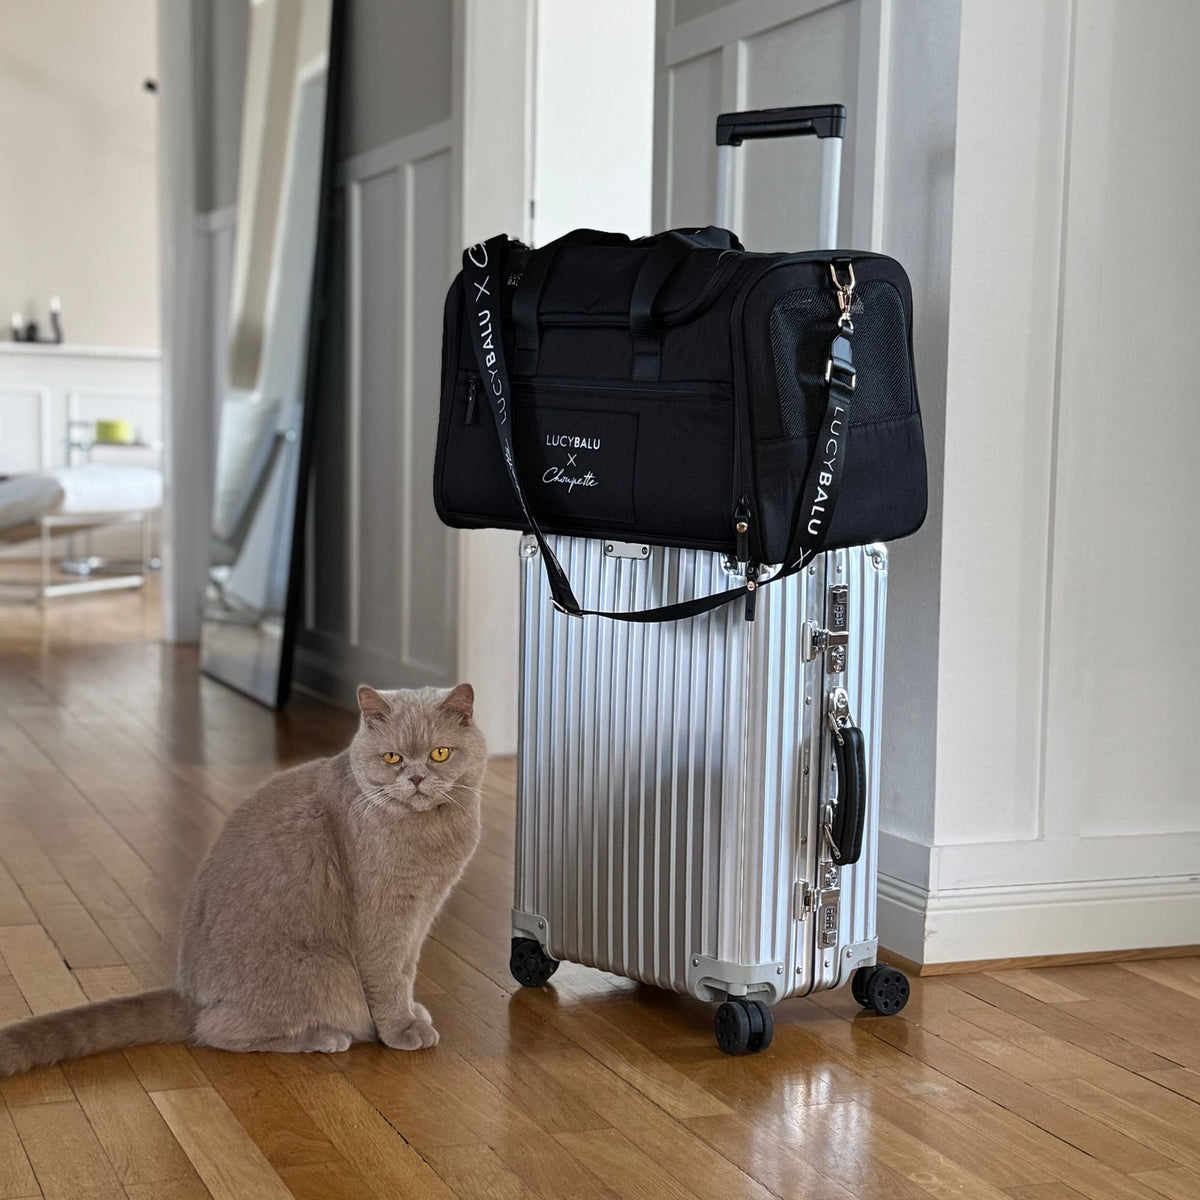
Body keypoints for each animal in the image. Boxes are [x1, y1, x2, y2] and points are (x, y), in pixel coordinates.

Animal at [0, 686, 482, 1080]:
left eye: (440, 754)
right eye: (392, 758)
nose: (416, 778)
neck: (431, 835)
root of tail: (189, 995)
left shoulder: (423, 912)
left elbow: (407, 969)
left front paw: (412, 1012)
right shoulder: (385, 915)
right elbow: (387, 974)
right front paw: (401, 1029)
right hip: (325, 972)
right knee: (216, 1031)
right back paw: (323, 1036)